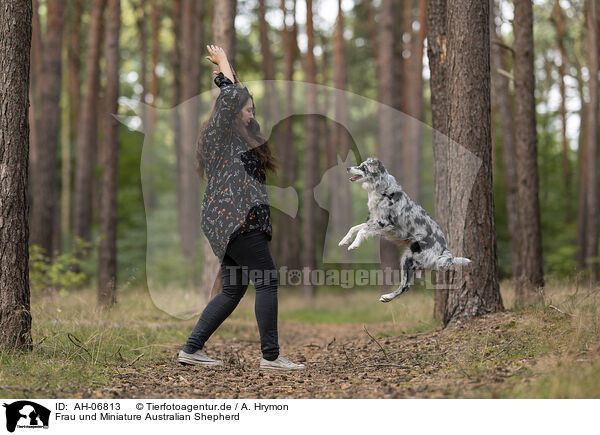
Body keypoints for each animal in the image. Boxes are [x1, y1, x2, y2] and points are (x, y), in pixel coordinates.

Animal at [338, 157, 468, 304]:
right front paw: (345, 240)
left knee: (405, 286)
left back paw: (388, 296)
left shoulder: (383, 223)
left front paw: (354, 244)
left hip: (408, 259)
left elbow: (362, 231)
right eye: (359, 165)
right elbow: (354, 228)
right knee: (405, 286)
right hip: (406, 259)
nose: (347, 168)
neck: (383, 190)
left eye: (363, 167)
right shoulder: (373, 221)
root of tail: (445, 251)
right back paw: (387, 297)